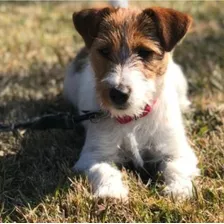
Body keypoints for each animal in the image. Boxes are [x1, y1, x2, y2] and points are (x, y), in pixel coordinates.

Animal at [63, 3, 200, 200]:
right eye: (104, 51)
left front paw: (178, 190)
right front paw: (111, 193)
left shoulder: (178, 152)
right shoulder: (93, 156)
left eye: (145, 52)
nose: (118, 93)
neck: (133, 118)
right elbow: (104, 170)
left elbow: (175, 168)